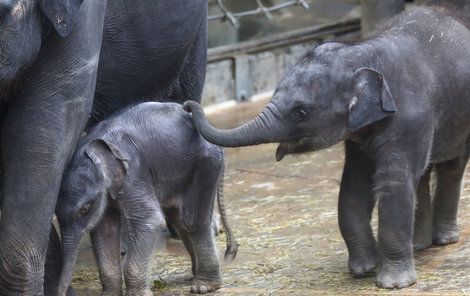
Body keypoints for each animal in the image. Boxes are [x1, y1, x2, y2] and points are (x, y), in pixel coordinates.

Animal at [55, 102, 237, 296]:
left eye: (84, 209)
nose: (61, 292)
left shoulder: (133, 172)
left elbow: (149, 219)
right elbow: (105, 230)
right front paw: (110, 294)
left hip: (206, 163)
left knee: (193, 221)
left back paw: (203, 286)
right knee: (178, 218)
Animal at [185, 4, 470, 290]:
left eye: (300, 112)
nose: (188, 106)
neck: (365, 54)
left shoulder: (410, 120)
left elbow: (394, 185)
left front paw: (393, 284)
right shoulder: (358, 135)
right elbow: (354, 185)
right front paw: (363, 269)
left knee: (451, 168)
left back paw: (444, 240)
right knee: (423, 174)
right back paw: (419, 245)